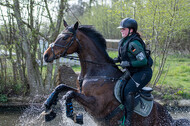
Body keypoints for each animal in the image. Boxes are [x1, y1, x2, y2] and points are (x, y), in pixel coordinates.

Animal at [43, 20, 190, 126]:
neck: (96, 73)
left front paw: (72, 115)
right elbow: (62, 87)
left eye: (65, 38)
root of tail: (170, 119)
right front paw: (48, 106)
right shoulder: (81, 92)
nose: (45, 55)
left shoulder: (97, 106)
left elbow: (69, 93)